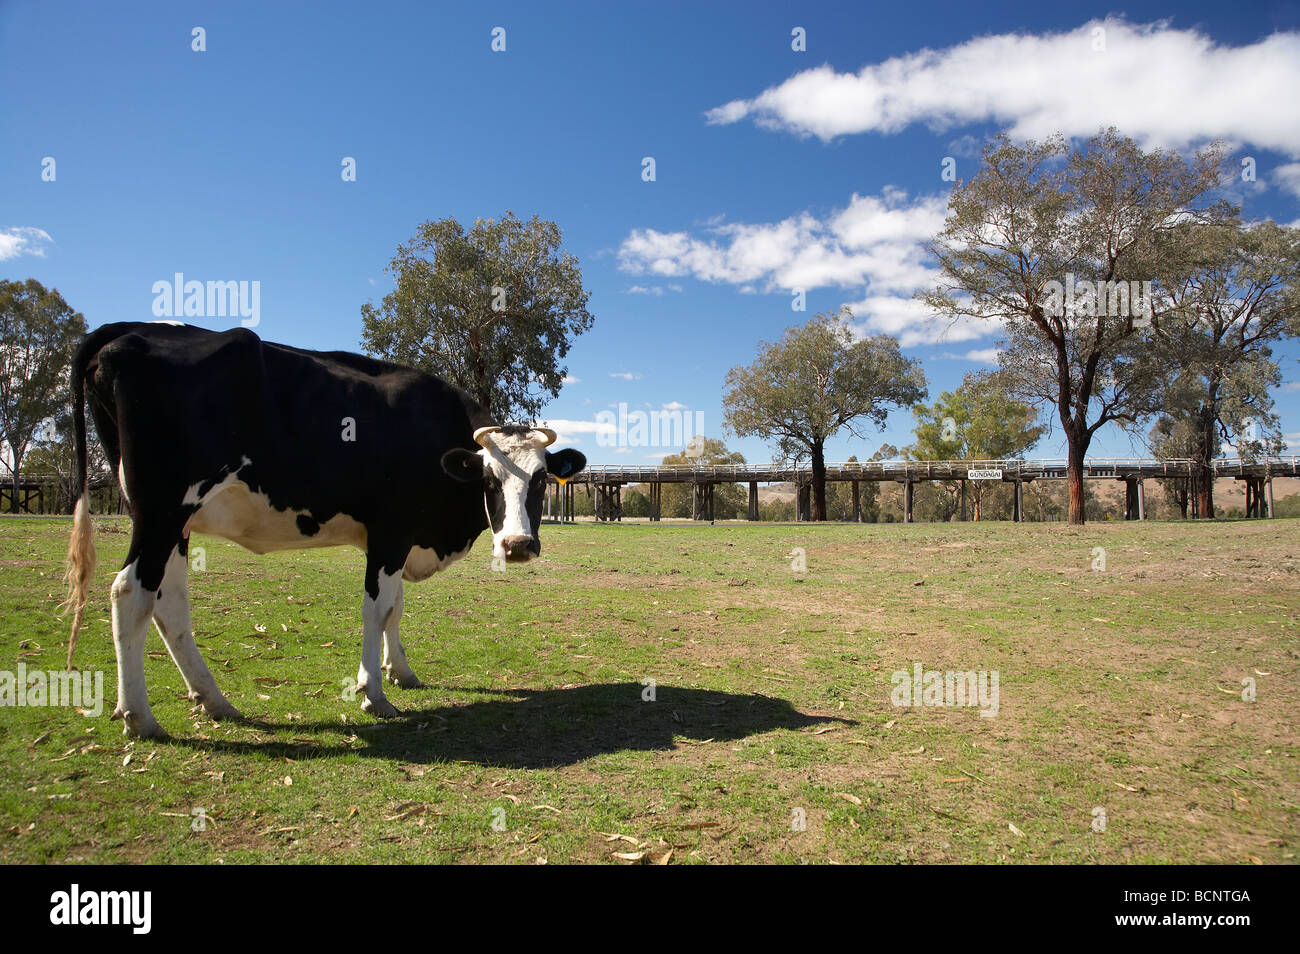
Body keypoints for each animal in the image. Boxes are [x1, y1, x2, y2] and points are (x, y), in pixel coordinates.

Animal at [61, 321, 587, 738]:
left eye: (542, 479)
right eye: (487, 480)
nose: (517, 545)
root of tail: (134, 330)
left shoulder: (397, 540)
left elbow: (395, 609)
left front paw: (400, 672)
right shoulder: (390, 533)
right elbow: (378, 609)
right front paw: (373, 692)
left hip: (177, 525)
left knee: (168, 602)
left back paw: (213, 700)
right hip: (162, 512)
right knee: (130, 593)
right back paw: (140, 716)